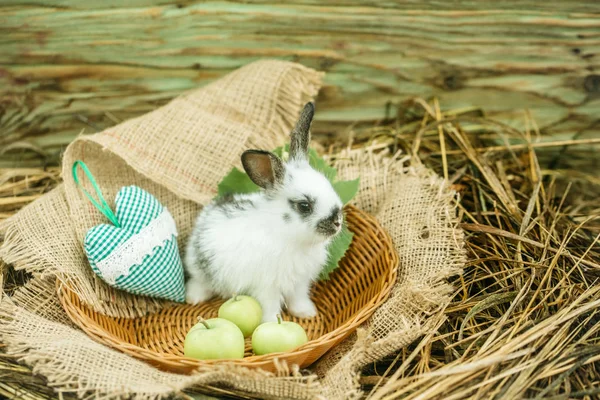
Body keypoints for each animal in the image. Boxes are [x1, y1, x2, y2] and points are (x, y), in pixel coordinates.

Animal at [183, 103, 342, 322]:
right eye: (304, 206)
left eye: (329, 185)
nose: (337, 221)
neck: (288, 237)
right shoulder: (266, 288)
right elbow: (270, 307)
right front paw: (271, 323)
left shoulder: (300, 283)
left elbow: (298, 299)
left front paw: (306, 313)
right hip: (200, 268)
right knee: (198, 282)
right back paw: (193, 299)